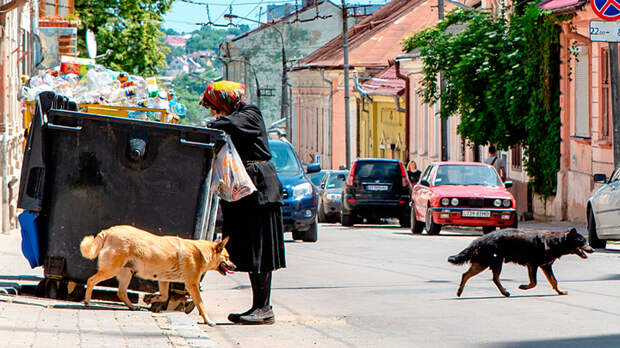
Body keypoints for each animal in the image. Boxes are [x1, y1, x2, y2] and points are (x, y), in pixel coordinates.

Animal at [81, 224, 236, 324]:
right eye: (228, 257)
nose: (235, 266)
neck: (201, 252)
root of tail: (109, 231)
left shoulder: (164, 280)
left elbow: (165, 296)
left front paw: (151, 298)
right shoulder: (192, 285)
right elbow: (201, 305)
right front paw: (208, 321)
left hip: (127, 272)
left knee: (121, 292)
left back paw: (132, 306)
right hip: (111, 269)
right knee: (91, 280)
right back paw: (87, 301)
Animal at [448, 228, 592, 296]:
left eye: (586, 241)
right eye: (582, 241)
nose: (593, 249)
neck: (557, 242)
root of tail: (480, 239)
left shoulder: (545, 266)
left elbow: (554, 281)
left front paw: (560, 291)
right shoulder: (533, 265)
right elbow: (534, 282)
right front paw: (524, 287)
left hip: (483, 262)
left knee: (466, 275)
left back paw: (460, 291)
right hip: (491, 262)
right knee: (493, 278)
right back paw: (504, 292)